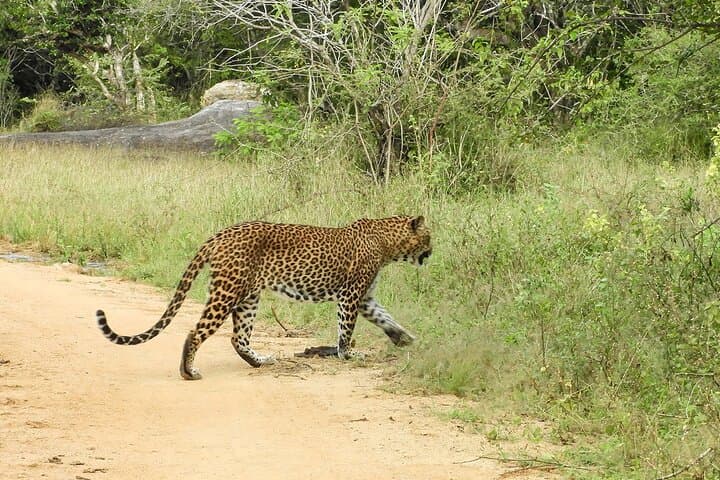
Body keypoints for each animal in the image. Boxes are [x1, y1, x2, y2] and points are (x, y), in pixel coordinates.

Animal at [96, 215, 432, 380]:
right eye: (428, 236)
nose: (432, 250)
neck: (387, 244)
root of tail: (220, 234)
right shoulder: (350, 296)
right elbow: (345, 330)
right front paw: (348, 354)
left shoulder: (365, 299)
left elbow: (387, 319)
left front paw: (406, 340)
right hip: (228, 291)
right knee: (196, 331)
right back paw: (188, 372)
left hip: (248, 297)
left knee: (238, 338)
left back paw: (261, 362)